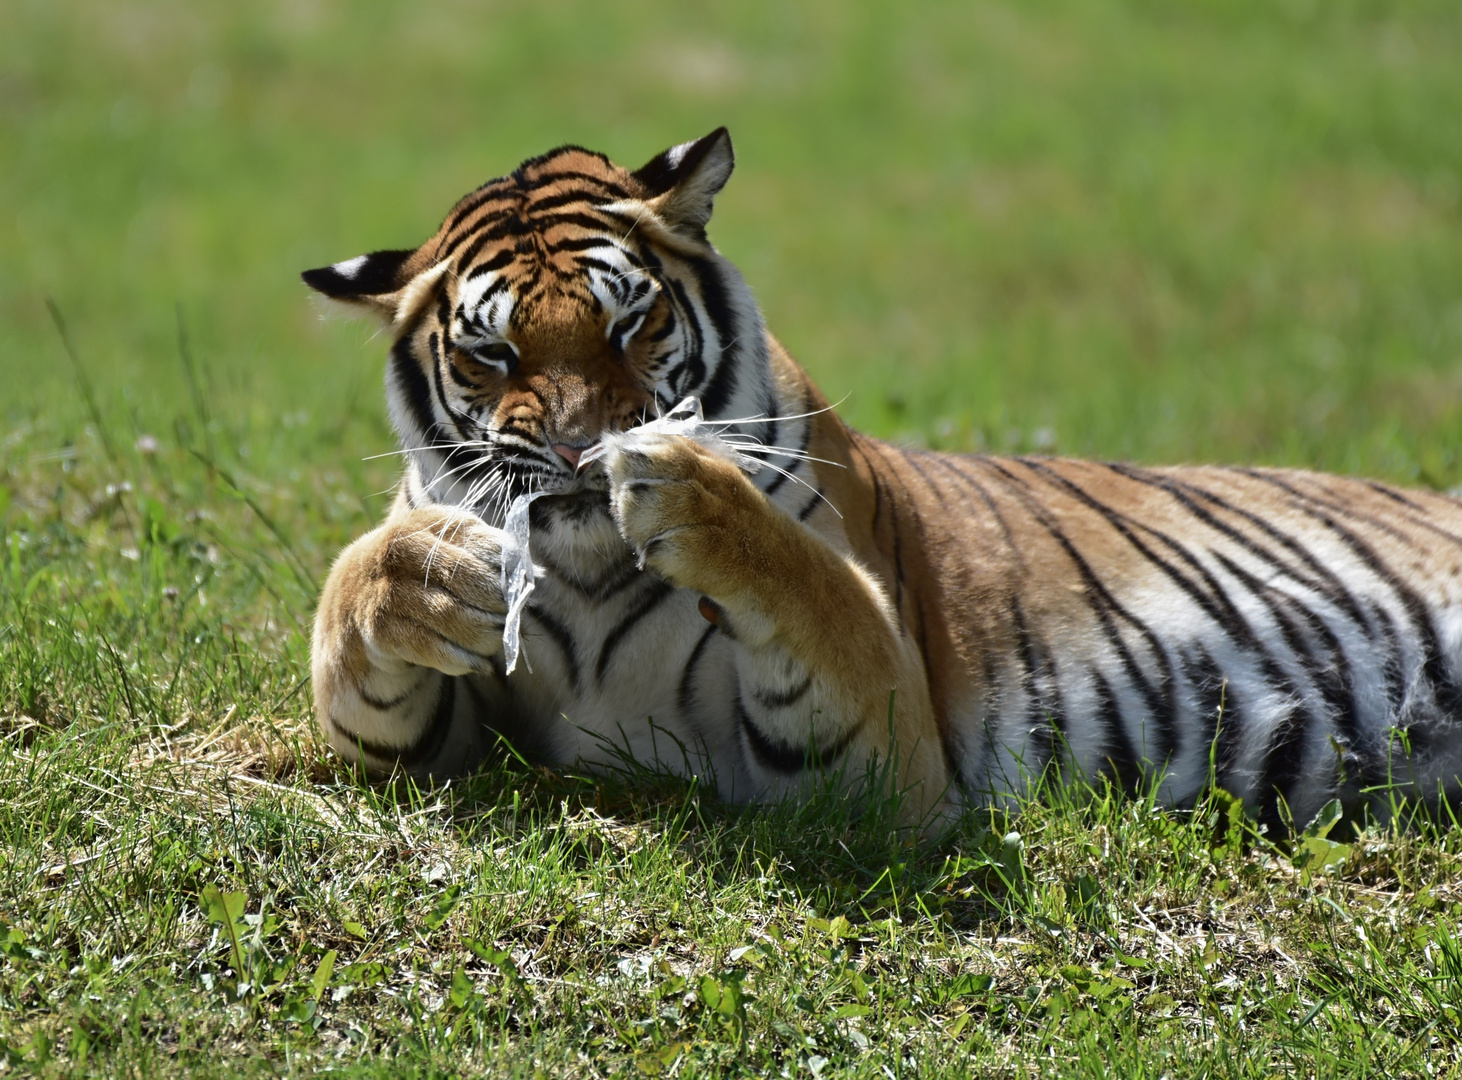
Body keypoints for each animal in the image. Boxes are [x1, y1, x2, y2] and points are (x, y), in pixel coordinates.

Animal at [302, 128, 1462, 835]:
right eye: (493, 355)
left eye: (632, 323)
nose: (587, 449)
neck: (585, 577)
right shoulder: (438, 746)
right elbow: (349, 636)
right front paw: (427, 569)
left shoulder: (878, 760)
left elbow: (819, 591)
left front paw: (691, 488)